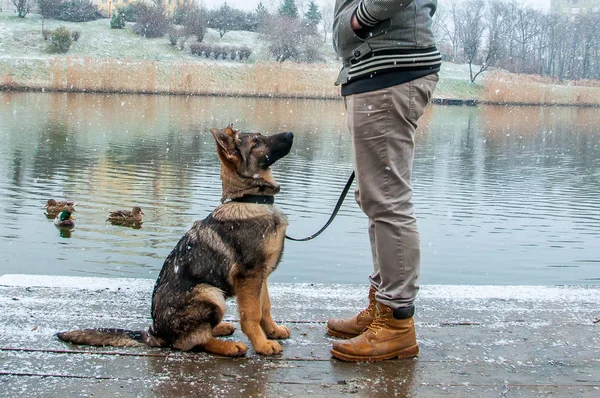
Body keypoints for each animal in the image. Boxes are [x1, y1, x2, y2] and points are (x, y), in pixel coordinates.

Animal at [55, 126, 294, 356]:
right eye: (256, 142)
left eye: (260, 136)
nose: (290, 134)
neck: (250, 200)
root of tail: (155, 333)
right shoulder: (249, 275)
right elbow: (252, 314)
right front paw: (262, 344)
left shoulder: (260, 276)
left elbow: (265, 307)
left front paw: (272, 331)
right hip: (210, 292)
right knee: (191, 341)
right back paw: (228, 347)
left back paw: (220, 328)